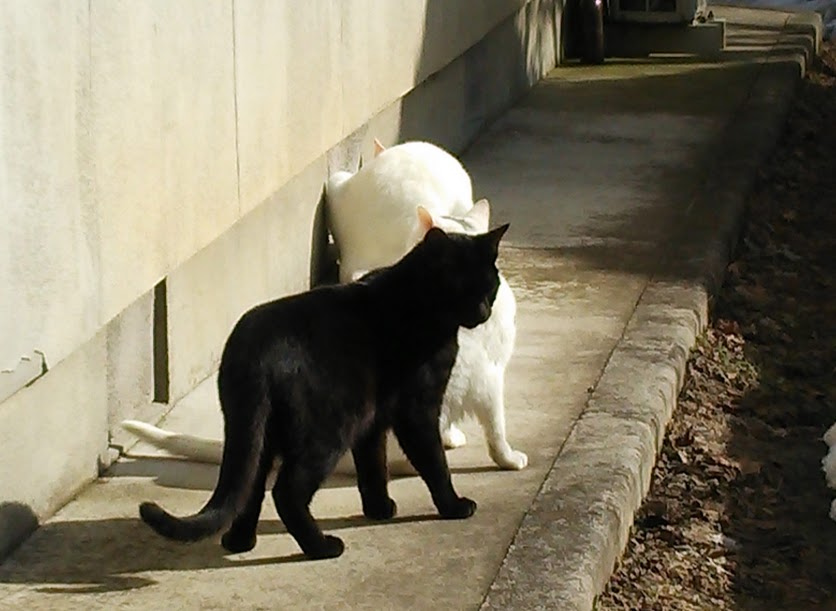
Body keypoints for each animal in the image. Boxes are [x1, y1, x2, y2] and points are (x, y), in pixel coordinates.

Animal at [140, 225, 506, 560]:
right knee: (286, 492)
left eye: (490, 287)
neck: (415, 301)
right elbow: (434, 461)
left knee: (250, 485)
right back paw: (321, 547)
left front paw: (378, 509)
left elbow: (373, 465)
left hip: (261, 432)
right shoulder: (417, 410)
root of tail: (255, 350)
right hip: (327, 429)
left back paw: (240, 542)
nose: (483, 312)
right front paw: (453, 506)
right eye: (461, 287)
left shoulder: (373, 418)